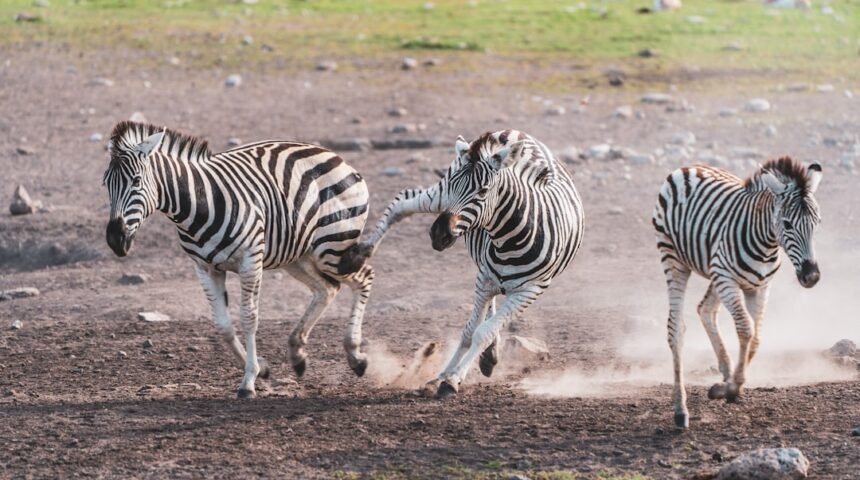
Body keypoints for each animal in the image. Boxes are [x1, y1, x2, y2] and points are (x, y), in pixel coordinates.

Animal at [102, 121, 375, 398]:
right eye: (106, 184)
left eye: (136, 181)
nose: (115, 239)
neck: (198, 205)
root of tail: (334, 156)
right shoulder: (204, 267)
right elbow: (222, 325)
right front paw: (261, 368)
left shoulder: (250, 259)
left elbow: (248, 317)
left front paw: (249, 381)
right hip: (298, 255)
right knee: (327, 289)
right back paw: (298, 353)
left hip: (333, 247)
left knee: (364, 278)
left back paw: (356, 356)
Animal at [338, 130, 584, 399]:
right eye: (456, 186)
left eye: (483, 191)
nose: (438, 234)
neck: (509, 240)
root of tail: (512, 132)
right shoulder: (485, 279)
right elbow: (468, 332)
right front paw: (443, 377)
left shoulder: (529, 291)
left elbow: (483, 331)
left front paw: (453, 378)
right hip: (439, 196)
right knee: (403, 202)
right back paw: (358, 254)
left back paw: (490, 356)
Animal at [652, 157, 823, 428]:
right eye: (787, 224)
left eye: (817, 224)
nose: (812, 276)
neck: (767, 245)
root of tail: (688, 167)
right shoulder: (727, 281)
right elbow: (746, 330)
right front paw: (732, 388)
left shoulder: (759, 287)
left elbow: (756, 340)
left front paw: (728, 386)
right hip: (674, 259)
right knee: (676, 329)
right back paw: (680, 409)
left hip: (714, 270)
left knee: (705, 309)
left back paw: (725, 368)